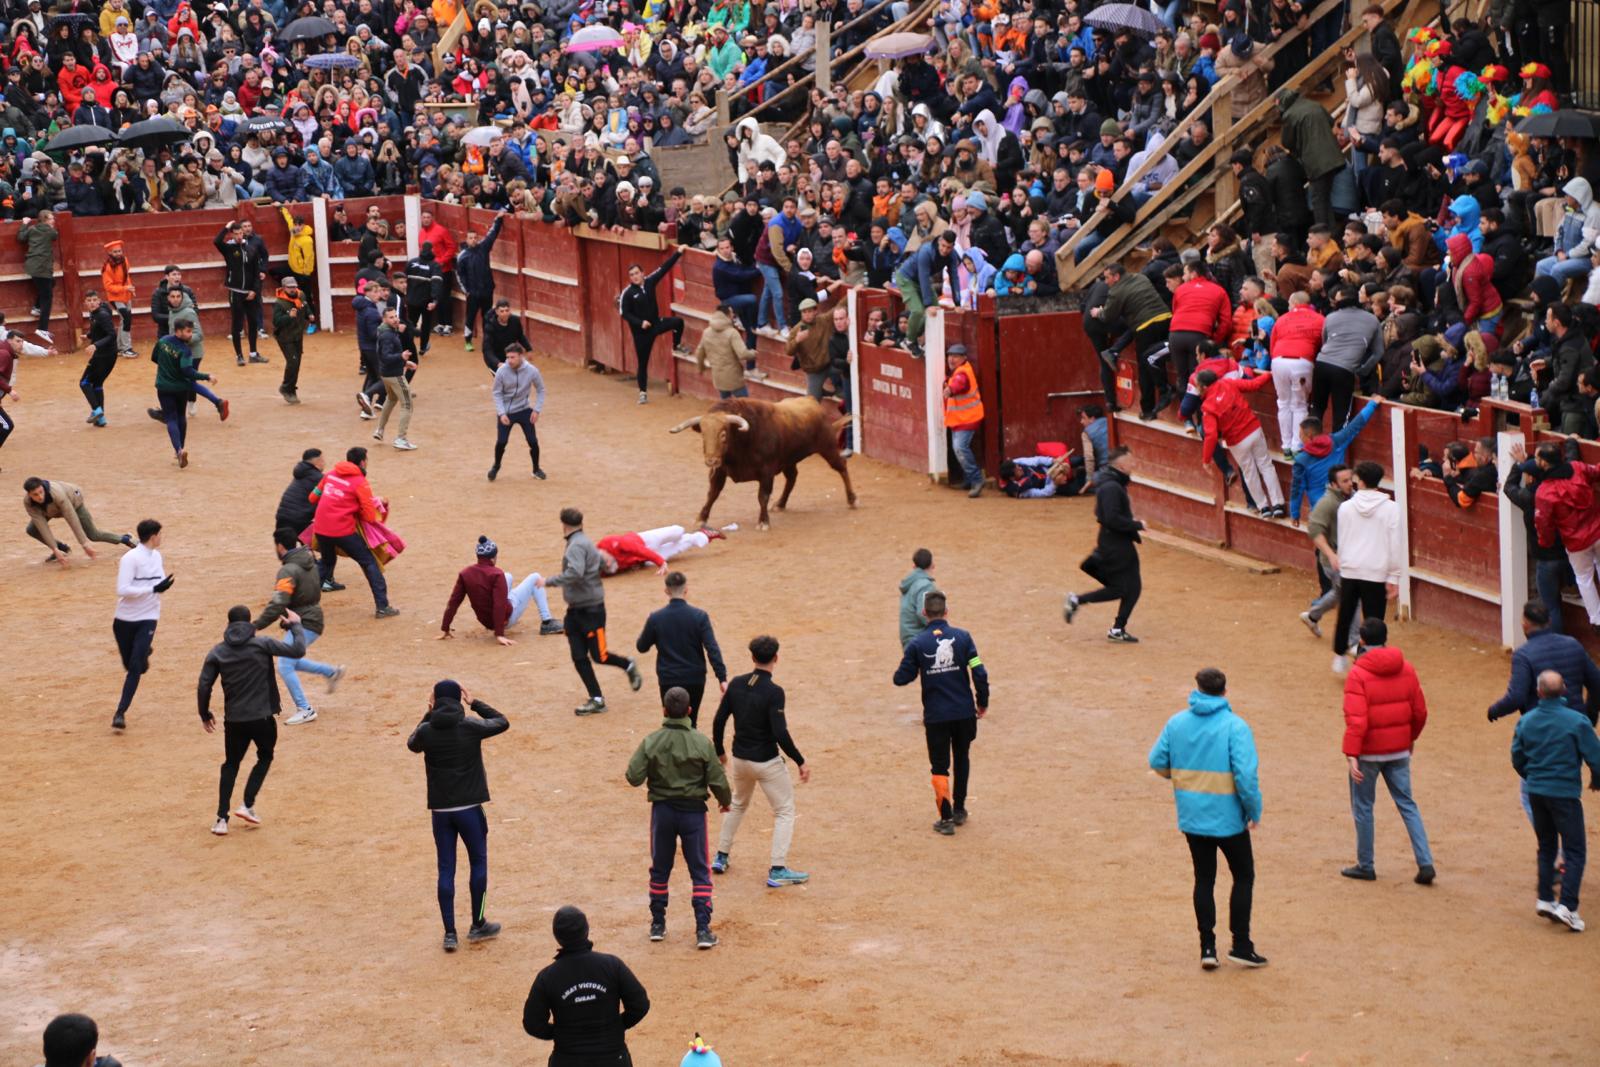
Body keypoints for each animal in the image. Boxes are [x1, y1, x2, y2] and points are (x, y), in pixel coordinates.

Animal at [668, 396, 857, 531]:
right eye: (703, 434)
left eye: (723, 434)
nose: (711, 460)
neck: (742, 440)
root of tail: (814, 403)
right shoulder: (719, 471)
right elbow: (712, 494)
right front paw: (701, 519)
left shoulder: (766, 473)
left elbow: (762, 496)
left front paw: (763, 522)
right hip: (788, 461)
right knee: (792, 477)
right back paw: (780, 504)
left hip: (828, 448)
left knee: (842, 467)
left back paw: (852, 499)